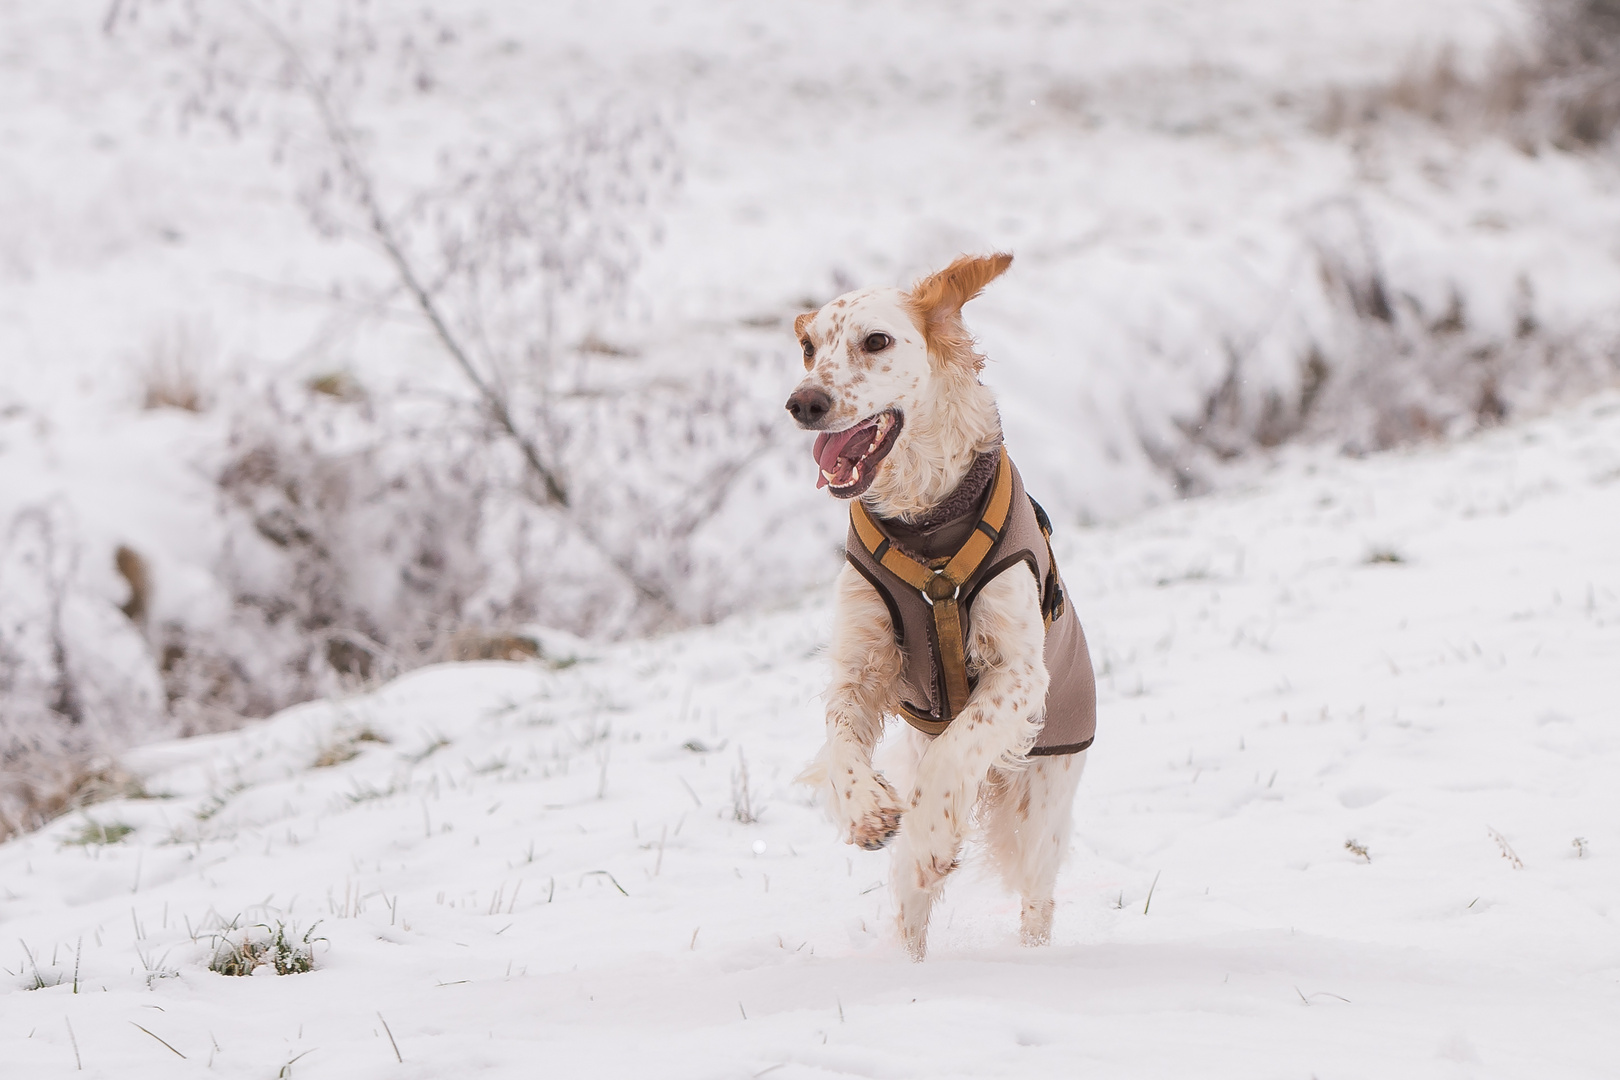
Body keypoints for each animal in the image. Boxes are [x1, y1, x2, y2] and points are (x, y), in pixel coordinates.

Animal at [787, 255, 1101, 965]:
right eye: (809, 348)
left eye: (876, 341)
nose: (803, 403)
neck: (924, 524)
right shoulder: (859, 667)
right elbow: (841, 741)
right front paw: (868, 811)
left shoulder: (1019, 675)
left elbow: (955, 751)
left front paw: (931, 832)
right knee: (911, 904)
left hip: (1045, 805)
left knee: (1037, 898)